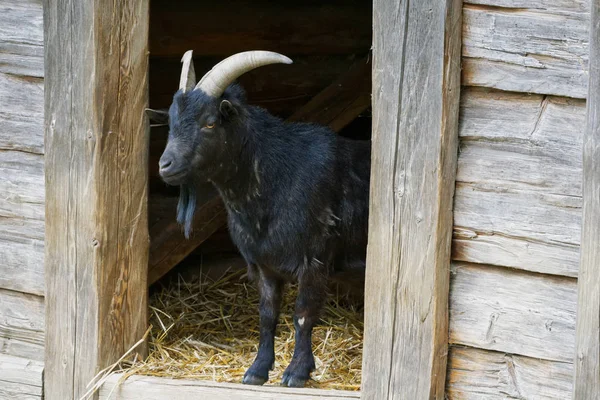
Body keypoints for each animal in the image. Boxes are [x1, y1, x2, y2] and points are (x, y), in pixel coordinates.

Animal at [155, 50, 370, 388]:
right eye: (172, 122)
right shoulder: (262, 264)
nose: (165, 165)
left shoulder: (315, 259)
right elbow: (268, 314)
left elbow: (303, 314)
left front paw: (296, 372)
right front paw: (257, 370)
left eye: (210, 122)